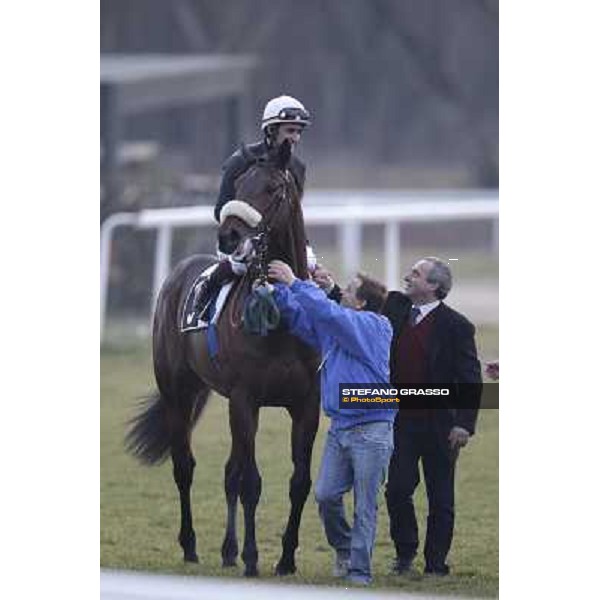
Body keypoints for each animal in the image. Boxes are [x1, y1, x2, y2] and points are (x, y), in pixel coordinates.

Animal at [126, 154, 322, 576]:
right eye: (239, 183)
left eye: (273, 188)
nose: (229, 237)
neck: (281, 318)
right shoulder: (246, 400)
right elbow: (251, 481)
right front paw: (252, 557)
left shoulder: (306, 404)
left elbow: (298, 481)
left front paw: (285, 558)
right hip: (178, 393)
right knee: (184, 466)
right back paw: (191, 546)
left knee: (229, 471)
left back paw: (228, 550)